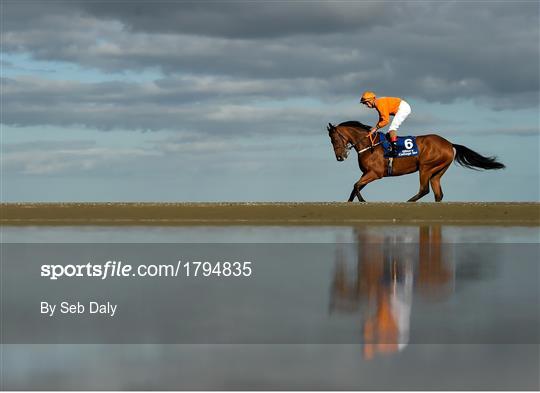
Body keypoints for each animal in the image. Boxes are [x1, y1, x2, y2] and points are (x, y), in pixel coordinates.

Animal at [324, 121, 506, 202]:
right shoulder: (367, 173)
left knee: (424, 190)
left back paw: (408, 202)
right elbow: (355, 187)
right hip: (437, 172)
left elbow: (356, 185)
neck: (369, 145)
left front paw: (362, 201)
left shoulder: (375, 173)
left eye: (334, 139)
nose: (340, 157)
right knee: (438, 194)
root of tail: (450, 144)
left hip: (426, 168)